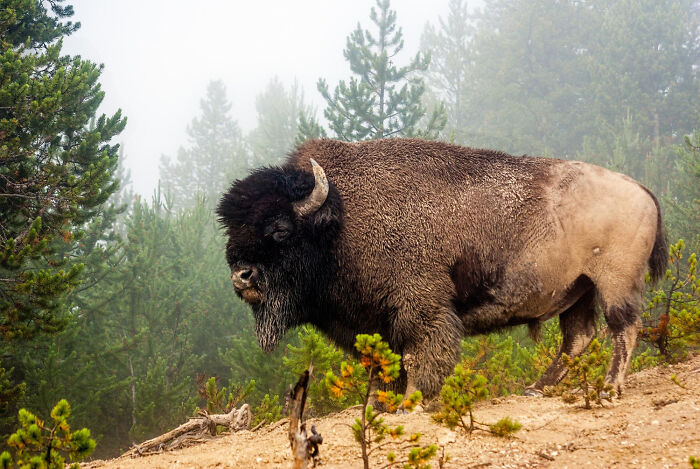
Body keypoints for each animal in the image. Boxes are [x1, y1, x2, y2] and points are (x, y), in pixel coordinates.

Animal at [217, 138, 666, 399]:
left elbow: (421, 359)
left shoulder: (421, 309)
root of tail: (640, 188)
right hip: (578, 289)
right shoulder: (375, 325)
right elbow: (387, 367)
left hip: (613, 283)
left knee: (623, 328)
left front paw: (414, 401)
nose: (241, 276)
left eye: (279, 229)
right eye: (230, 229)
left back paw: (608, 390)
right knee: (579, 336)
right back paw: (536, 388)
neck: (340, 219)